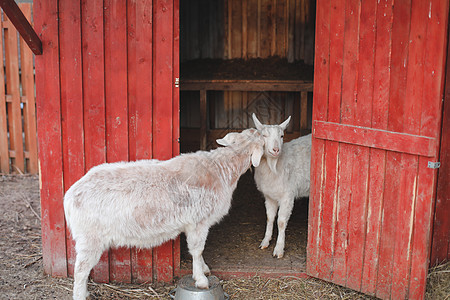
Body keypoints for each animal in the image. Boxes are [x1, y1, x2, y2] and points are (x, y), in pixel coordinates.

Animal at [65, 127, 266, 298]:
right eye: (262, 141)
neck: (220, 167)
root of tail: (70, 195)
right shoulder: (198, 221)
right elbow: (197, 249)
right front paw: (201, 280)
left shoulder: (194, 224)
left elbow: (198, 251)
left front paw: (204, 269)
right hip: (90, 237)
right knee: (80, 270)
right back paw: (80, 294)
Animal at [251, 113, 312, 258]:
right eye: (264, 135)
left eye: (282, 136)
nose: (276, 150)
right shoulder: (269, 196)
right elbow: (269, 217)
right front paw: (265, 241)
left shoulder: (287, 196)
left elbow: (281, 222)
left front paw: (278, 249)